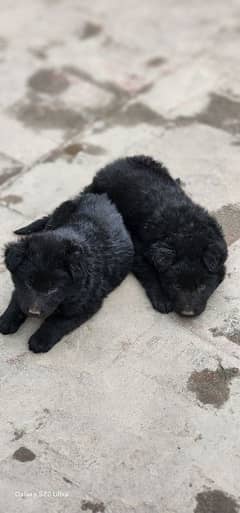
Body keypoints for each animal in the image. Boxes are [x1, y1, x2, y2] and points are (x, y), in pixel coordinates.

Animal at [0, 193, 133, 352]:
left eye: (53, 289)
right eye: (29, 284)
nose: (34, 313)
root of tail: (100, 196)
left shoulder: (85, 302)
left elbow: (58, 320)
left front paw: (40, 339)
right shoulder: (21, 290)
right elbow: (18, 298)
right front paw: (6, 320)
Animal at [85, 156, 228, 316]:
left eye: (202, 287)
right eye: (177, 286)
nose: (188, 312)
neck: (186, 229)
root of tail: (113, 164)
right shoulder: (138, 249)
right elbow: (150, 273)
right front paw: (162, 300)